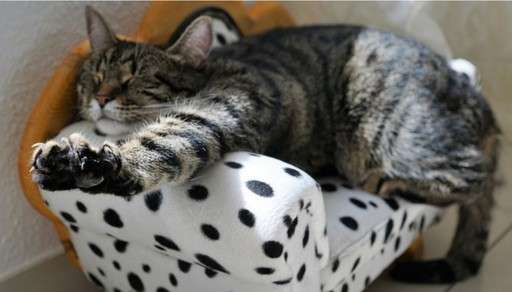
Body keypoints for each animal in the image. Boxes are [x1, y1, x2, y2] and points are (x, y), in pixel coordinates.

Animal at [31, 6, 500, 284]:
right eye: (93, 75)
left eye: (136, 79)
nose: (101, 96)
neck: (215, 69)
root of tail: (477, 98)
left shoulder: (215, 112)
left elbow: (162, 142)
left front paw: (80, 159)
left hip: (394, 142)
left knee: (477, 176)